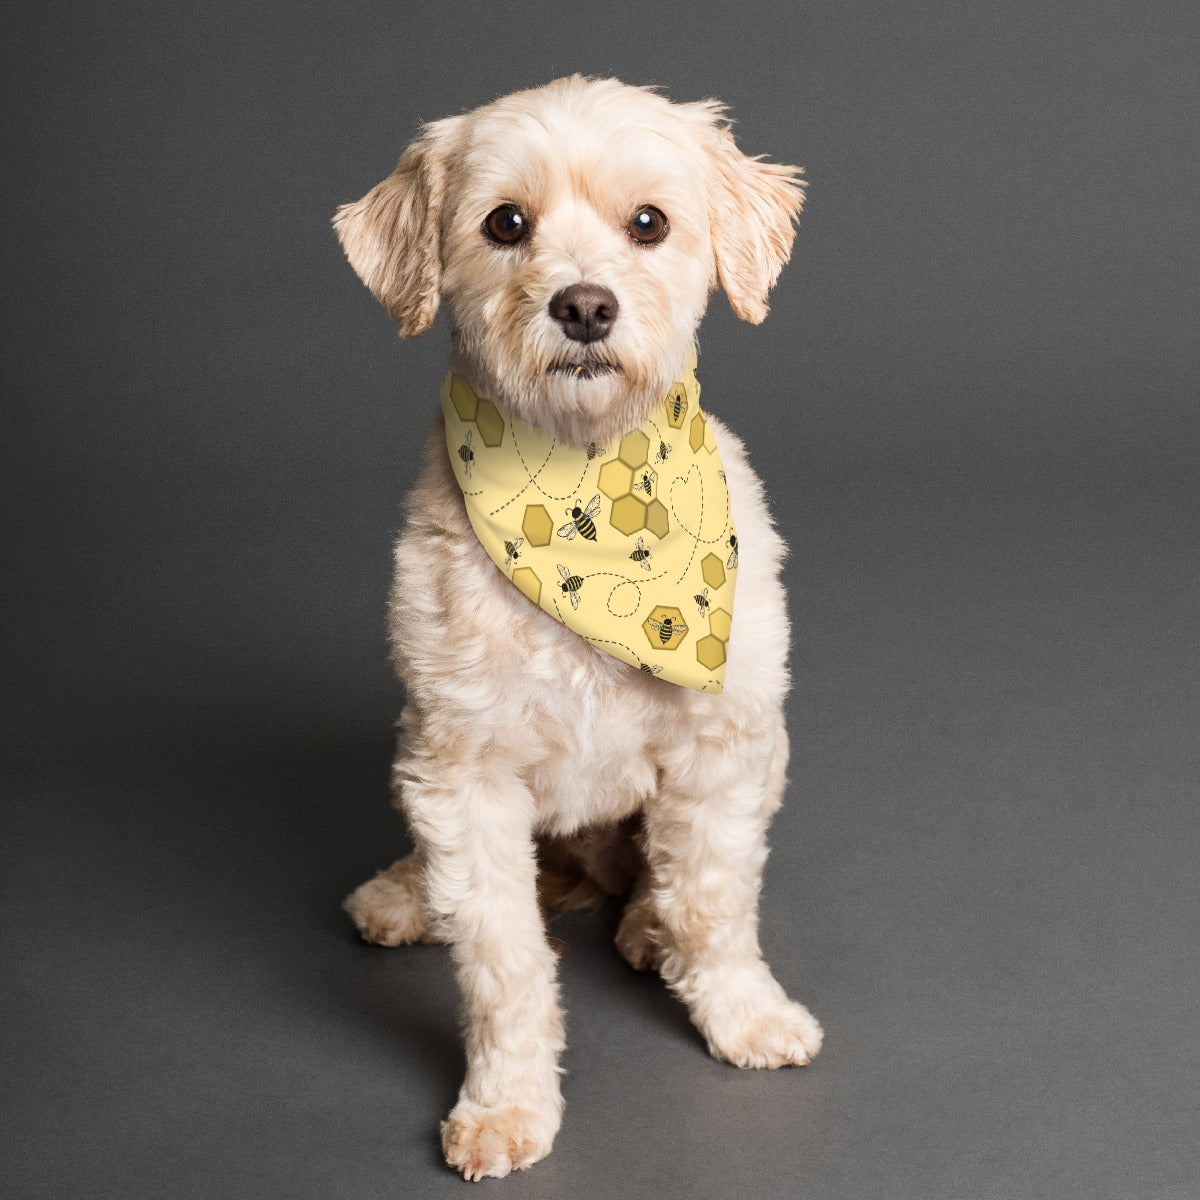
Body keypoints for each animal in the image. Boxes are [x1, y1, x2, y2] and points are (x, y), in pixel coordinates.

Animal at [333, 77, 820, 1180]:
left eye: (650, 223)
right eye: (505, 224)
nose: (586, 306)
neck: (586, 486)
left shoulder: (724, 747)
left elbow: (712, 901)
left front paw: (742, 1012)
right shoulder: (462, 772)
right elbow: (501, 961)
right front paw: (507, 1102)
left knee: (657, 880)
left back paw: (643, 926)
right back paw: (405, 896)